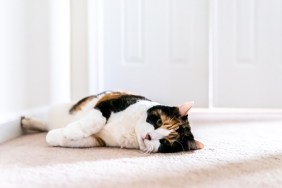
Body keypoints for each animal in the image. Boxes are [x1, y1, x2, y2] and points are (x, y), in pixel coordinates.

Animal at [20, 90, 204, 153]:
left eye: (165, 142)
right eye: (158, 122)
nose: (149, 137)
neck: (130, 130)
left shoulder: (99, 141)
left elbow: (74, 141)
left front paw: (58, 136)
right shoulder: (110, 102)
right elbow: (96, 120)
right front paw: (71, 131)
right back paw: (27, 121)